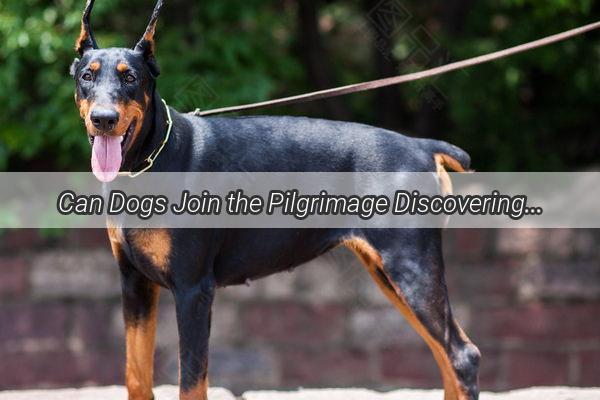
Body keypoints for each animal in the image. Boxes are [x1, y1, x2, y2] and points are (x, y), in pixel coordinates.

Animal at [70, 0, 482, 400]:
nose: (104, 119)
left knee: (462, 355)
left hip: (410, 267)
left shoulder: (193, 289)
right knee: (443, 353)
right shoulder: (134, 283)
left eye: (130, 78)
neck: (147, 162)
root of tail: (421, 147)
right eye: (87, 76)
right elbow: (136, 376)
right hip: (388, 273)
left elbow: (192, 382)